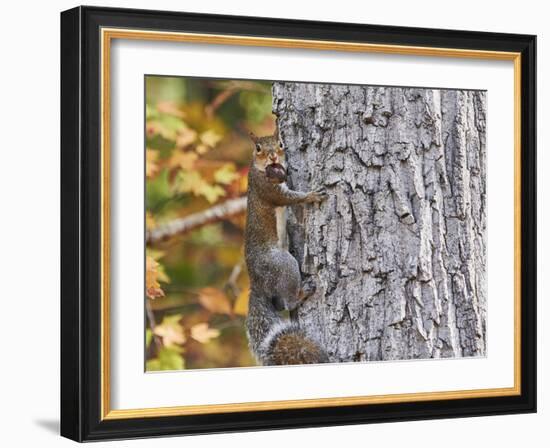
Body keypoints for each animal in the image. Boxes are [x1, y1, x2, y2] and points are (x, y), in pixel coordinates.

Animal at [245, 125, 328, 364]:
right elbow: (290, 198)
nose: (273, 156)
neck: (260, 170)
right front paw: (311, 196)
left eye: (280, 144)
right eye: (258, 148)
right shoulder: (268, 190)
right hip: (283, 265)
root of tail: (258, 284)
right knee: (289, 302)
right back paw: (303, 292)